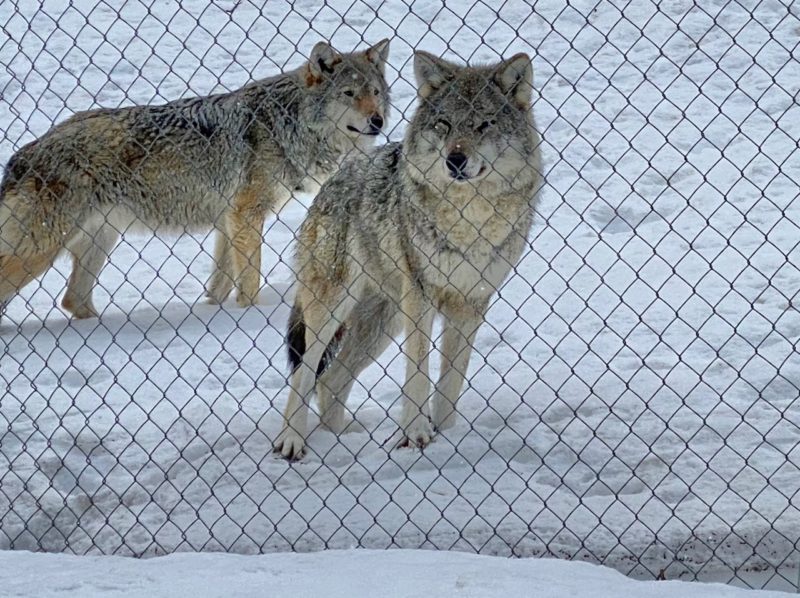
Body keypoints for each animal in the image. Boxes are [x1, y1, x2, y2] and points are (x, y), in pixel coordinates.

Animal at [0, 39, 390, 326]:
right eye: (348, 94)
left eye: (374, 91)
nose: (378, 121)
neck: (286, 122)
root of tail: (22, 155)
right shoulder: (245, 216)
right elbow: (249, 282)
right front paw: (250, 317)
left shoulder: (227, 222)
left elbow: (220, 284)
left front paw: (215, 315)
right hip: (41, 251)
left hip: (99, 239)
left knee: (73, 300)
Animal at [276, 52, 544, 464]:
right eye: (444, 124)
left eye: (484, 124)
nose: (455, 159)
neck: (470, 220)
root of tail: (331, 183)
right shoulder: (421, 295)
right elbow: (418, 370)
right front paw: (415, 434)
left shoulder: (471, 301)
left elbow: (451, 381)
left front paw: (446, 437)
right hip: (334, 308)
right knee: (304, 373)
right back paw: (291, 441)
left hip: (381, 324)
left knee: (330, 381)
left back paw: (341, 439)